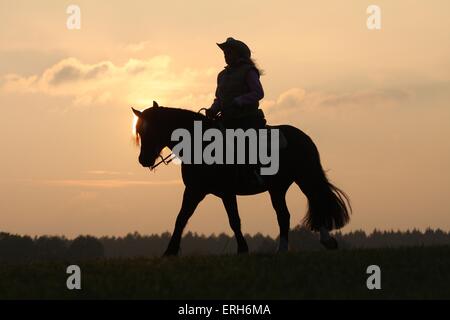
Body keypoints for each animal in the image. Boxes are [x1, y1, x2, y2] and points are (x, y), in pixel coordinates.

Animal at [132, 101, 350, 256]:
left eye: (152, 129)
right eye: (140, 131)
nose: (143, 160)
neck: (201, 144)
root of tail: (304, 137)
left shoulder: (227, 191)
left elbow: (234, 221)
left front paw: (243, 249)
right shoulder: (195, 190)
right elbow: (181, 218)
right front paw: (169, 251)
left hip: (305, 177)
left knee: (318, 201)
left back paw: (326, 241)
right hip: (277, 188)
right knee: (284, 215)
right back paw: (282, 249)